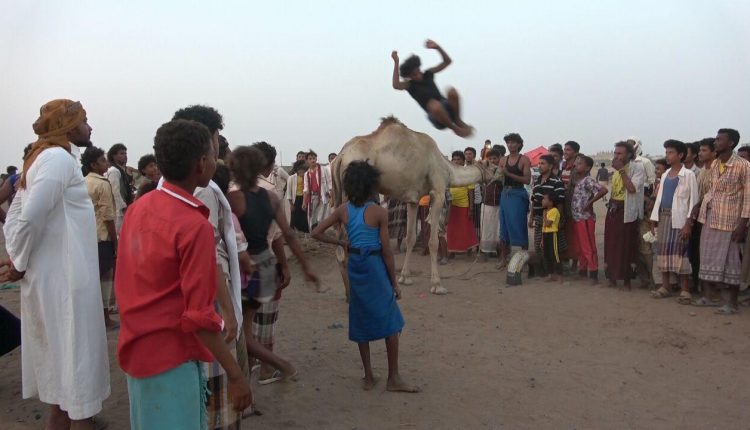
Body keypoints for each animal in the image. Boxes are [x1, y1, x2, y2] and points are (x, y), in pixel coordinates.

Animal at [332, 116, 502, 296]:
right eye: (493, 166)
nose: (502, 174)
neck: (447, 168)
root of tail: (340, 157)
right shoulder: (438, 192)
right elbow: (433, 242)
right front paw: (437, 285)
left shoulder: (413, 200)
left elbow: (411, 238)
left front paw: (404, 277)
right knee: (344, 246)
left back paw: (349, 293)